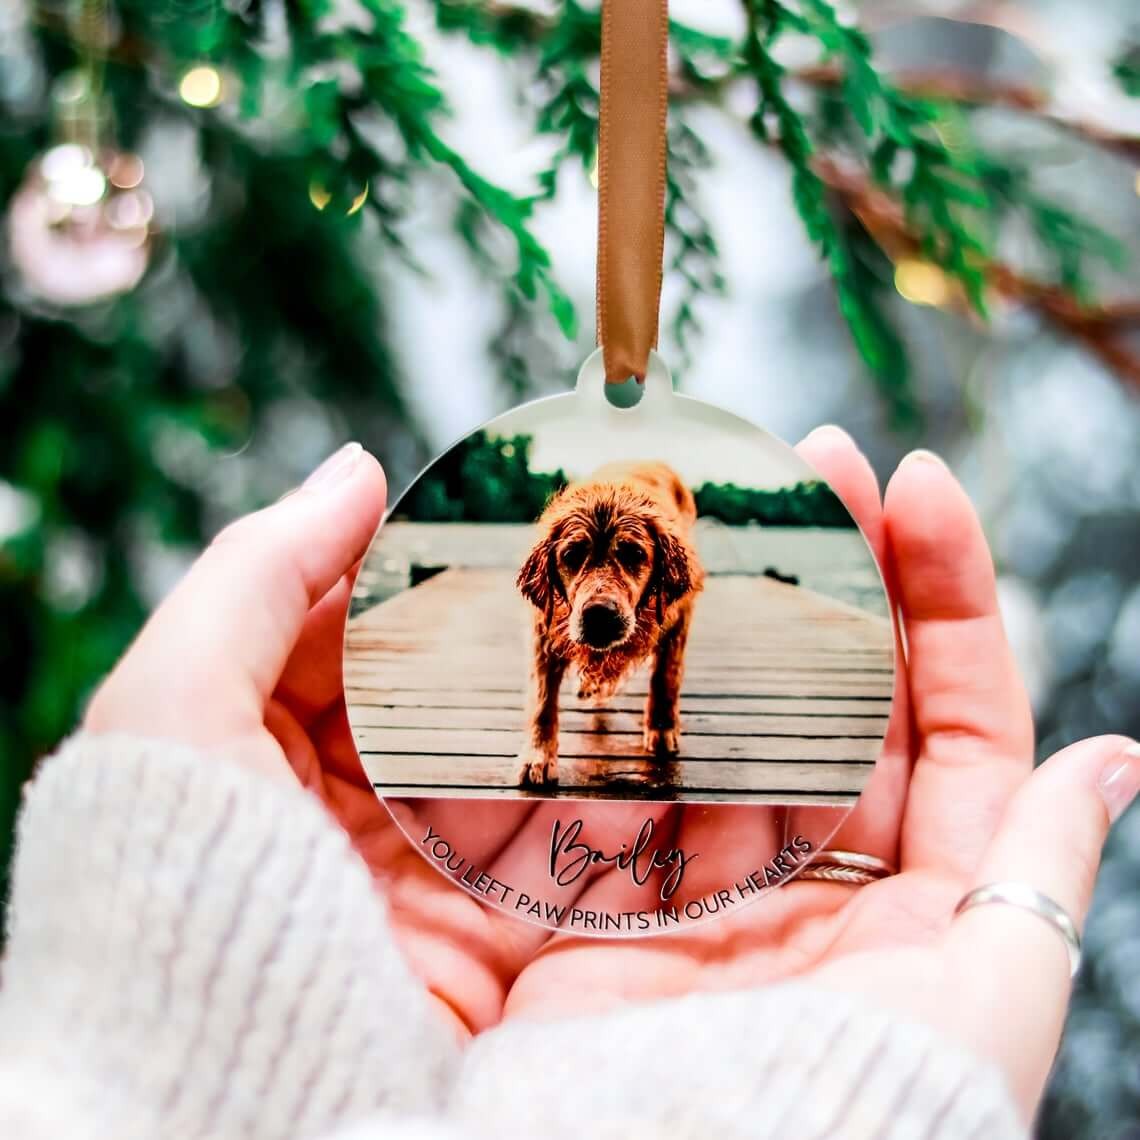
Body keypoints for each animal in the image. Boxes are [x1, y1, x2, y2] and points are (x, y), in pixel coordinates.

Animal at [517, 458, 702, 788]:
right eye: (571, 555)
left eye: (635, 554)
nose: (599, 614)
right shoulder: (544, 628)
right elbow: (542, 700)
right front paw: (537, 757)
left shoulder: (678, 616)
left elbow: (665, 676)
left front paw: (662, 728)